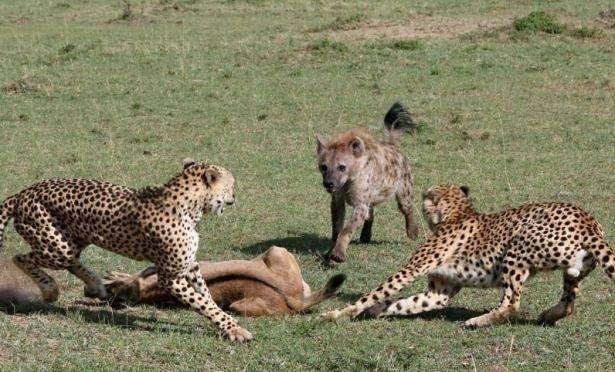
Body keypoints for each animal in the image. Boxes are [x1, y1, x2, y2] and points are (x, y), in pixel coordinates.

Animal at [0, 158, 253, 342]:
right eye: (231, 185)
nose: (234, 196)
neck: (191, 205)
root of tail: (24, 192)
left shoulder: (190, 266)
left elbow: (206, 296)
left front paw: (224, 326)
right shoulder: (170, 277)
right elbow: (203, 302)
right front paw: (235, 330)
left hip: (71, 240)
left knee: (71, 261)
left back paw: (96, 285)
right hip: (57, 247)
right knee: (20, 257)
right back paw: (51, 290)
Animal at [316, 101, 422, 264]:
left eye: (342, 167)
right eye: (323, 167)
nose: (329, 183)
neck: (348, 181)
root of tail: (392, 146)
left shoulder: (360, 202)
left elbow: (347, 229)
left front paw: (338, 254)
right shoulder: (337, 199)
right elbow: (336, 227)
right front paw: (330, 252)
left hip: (404, 185)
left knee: (406, 207)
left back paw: (412, 232)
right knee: (370, 213)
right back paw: (365, 236)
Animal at [320, 185, 612, 326]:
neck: (457, 212)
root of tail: (587, 220)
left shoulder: (412, 269)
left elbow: (376, 292)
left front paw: (335, 314)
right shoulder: (438, 292)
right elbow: (405, 303)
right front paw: (375, 311)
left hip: (516, 248)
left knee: (511, 303)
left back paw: (476, 322)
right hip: (575, 270)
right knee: (569, 301)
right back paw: (548, 315)